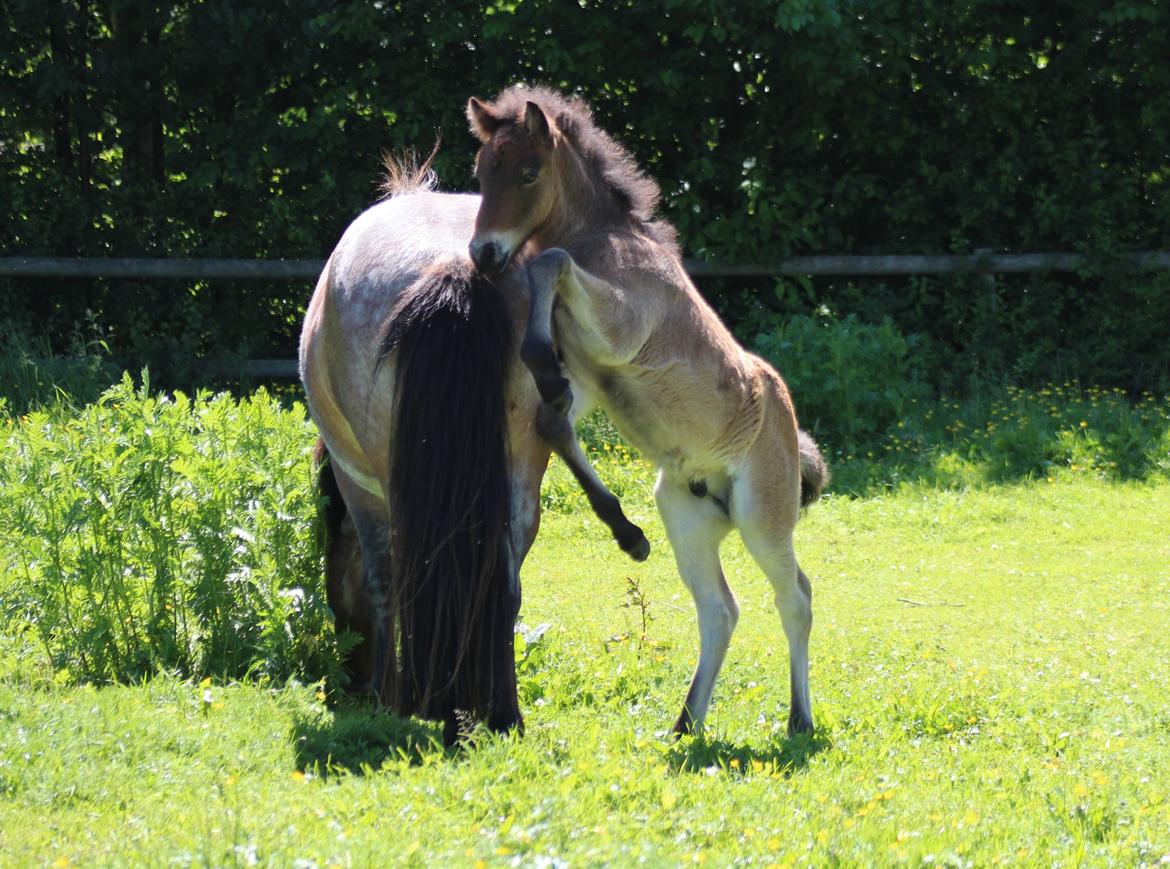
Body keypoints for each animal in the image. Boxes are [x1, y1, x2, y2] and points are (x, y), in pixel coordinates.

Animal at [301, 156, 645, 739]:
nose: (349, 677)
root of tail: (453, 271)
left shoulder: (357, 483)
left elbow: (379, 581)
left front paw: (387, 697)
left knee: (398, 579)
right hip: (521, 472)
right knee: (506, 584)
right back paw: (503, 713)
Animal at [465, 86, 833, 739]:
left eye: (529, 172)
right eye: (482, 171)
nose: (483, 254)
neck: (603, 241)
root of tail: (793, 435)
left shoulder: (619, 333)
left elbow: (549, 261)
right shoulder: (589, 378)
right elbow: (553, 418)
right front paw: (627, 535)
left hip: (762, 519)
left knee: (796, 596)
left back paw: (799, 720)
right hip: (686, 516)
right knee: (720, 610)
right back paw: (687, 723)